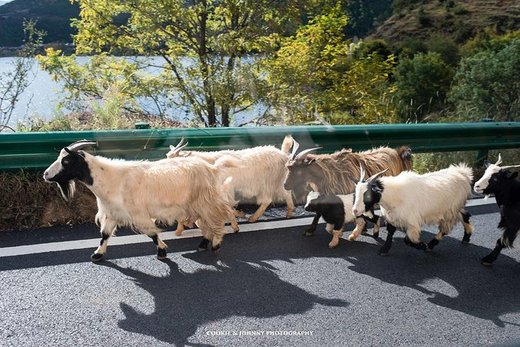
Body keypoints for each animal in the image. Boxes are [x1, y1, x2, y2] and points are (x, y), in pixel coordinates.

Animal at [42, 140, 234, 262]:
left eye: (66, 161)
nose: (45, 174)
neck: (111, 179)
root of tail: (210, 167)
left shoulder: (138, 214)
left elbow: (152, 234)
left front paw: (162, 252)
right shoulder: (112, 213)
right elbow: (104, 235)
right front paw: (97, 255)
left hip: (205, 202)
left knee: (217, 218)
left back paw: (215, 244)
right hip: (196, 205)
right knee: (207, 222)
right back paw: (203, 244)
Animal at [168, 136, 296, 223]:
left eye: (175, 160)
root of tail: (284, 155)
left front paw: (240, 214)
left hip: (269, 182)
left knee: (268, 199)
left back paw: (253, 218)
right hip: (277, 181)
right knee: (286, 193)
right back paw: (289, 213)